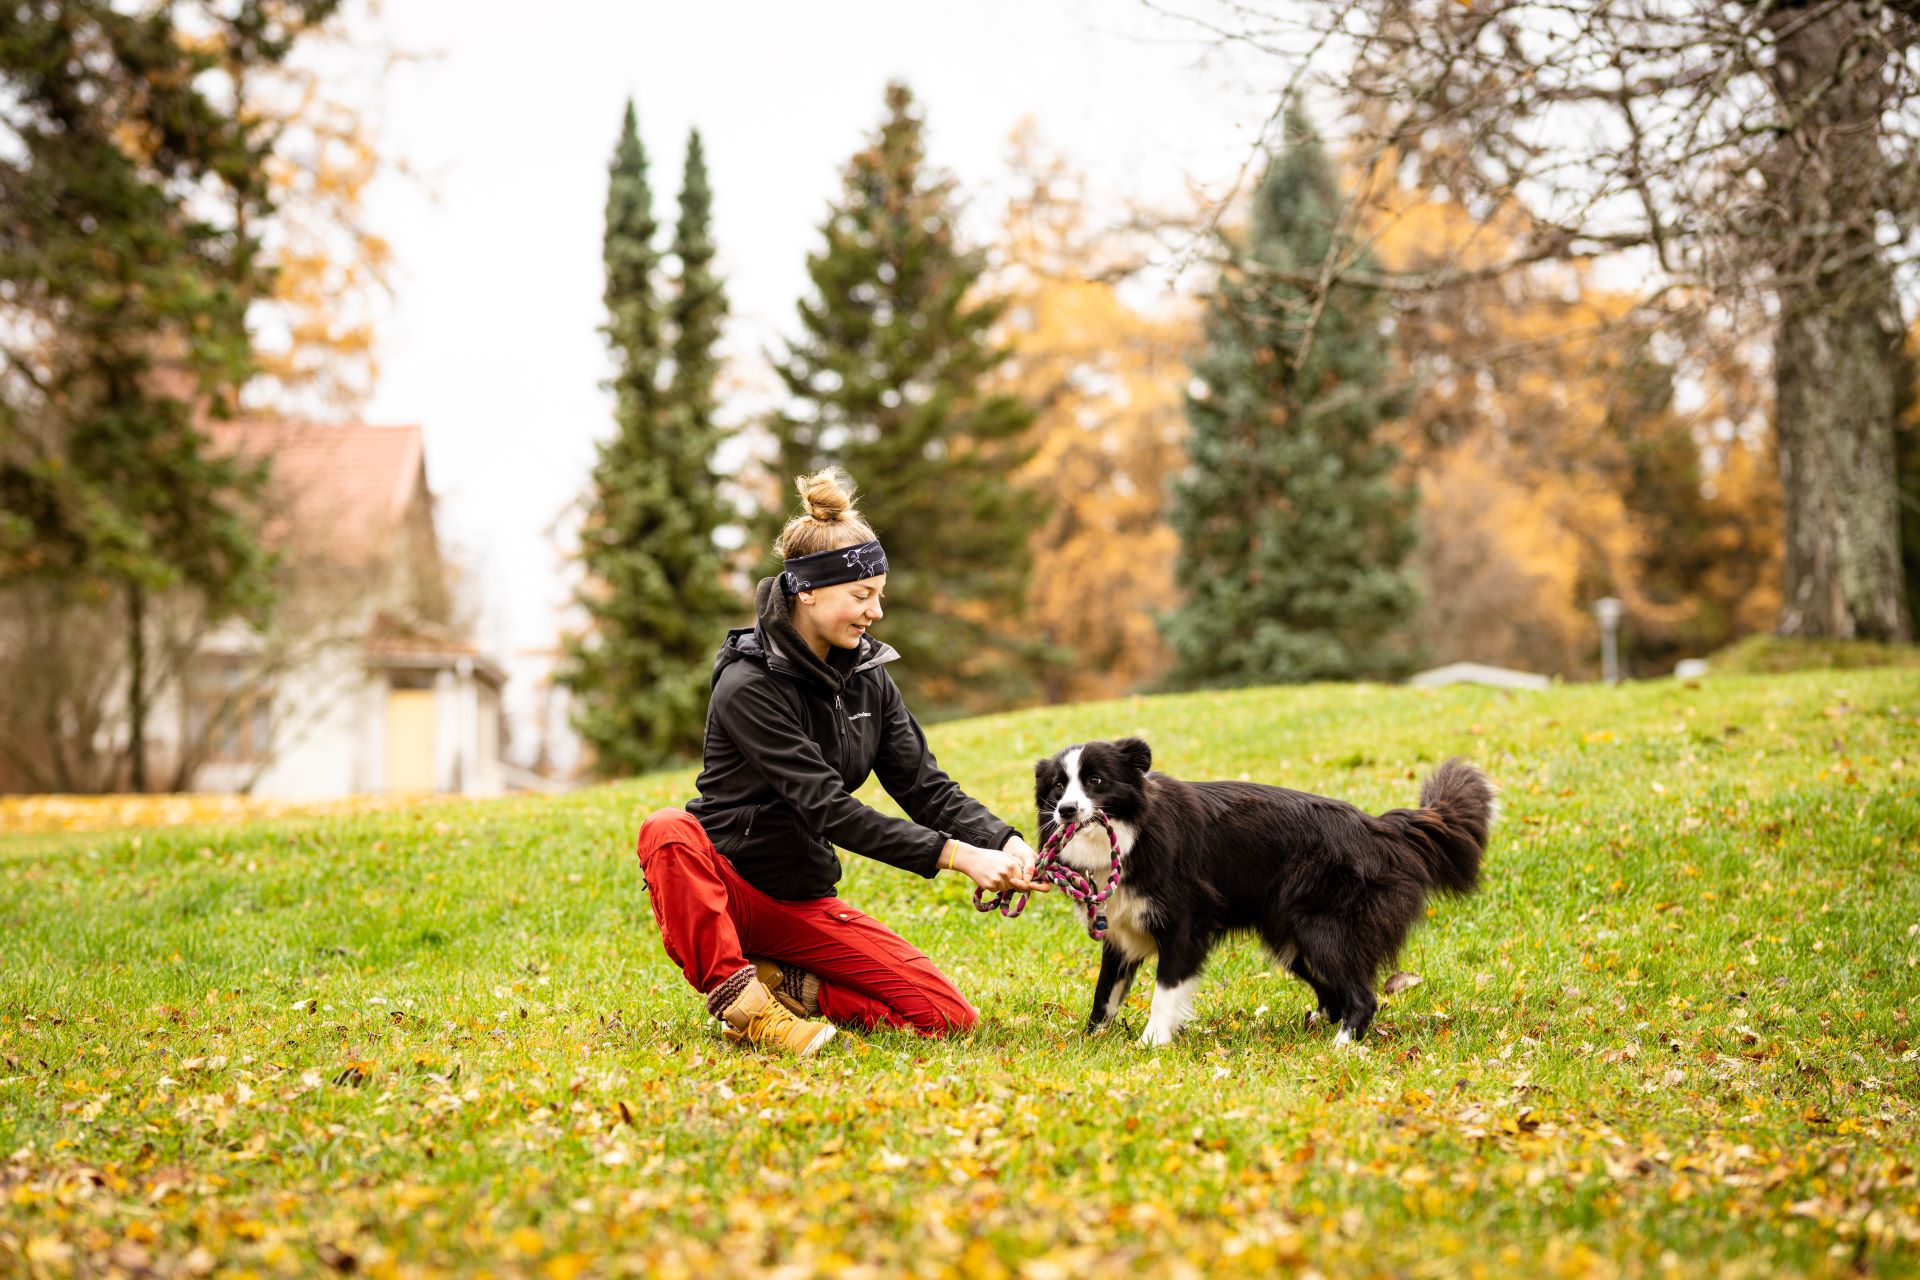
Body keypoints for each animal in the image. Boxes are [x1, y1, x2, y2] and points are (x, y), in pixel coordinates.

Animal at [1036, 744, 1497, 1043]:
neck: (1134, 832)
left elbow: (1166, 990)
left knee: (1361, 995)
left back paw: (1342, 1046)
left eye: (1096, 781)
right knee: (1332, 992)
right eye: (1058, 787)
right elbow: (1105, 991)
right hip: (1292, 937)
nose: (1066, 811)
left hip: (1323, 926)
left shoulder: (1186, 922)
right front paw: (1091, 1039)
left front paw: (1152, 1042)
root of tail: (1380, 828)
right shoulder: (1120, 926)